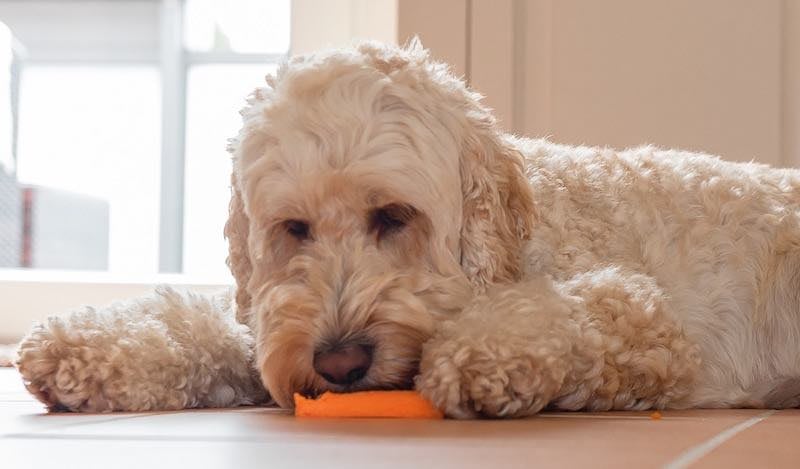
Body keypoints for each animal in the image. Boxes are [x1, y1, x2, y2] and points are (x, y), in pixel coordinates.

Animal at [12, 42, 800, 416]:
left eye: (393, 216)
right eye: (294, 227)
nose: (338, 363)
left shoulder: (646, 325)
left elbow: (564, 314)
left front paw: (484, 355)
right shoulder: (274, 324)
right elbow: (210, 323)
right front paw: (87, 348)